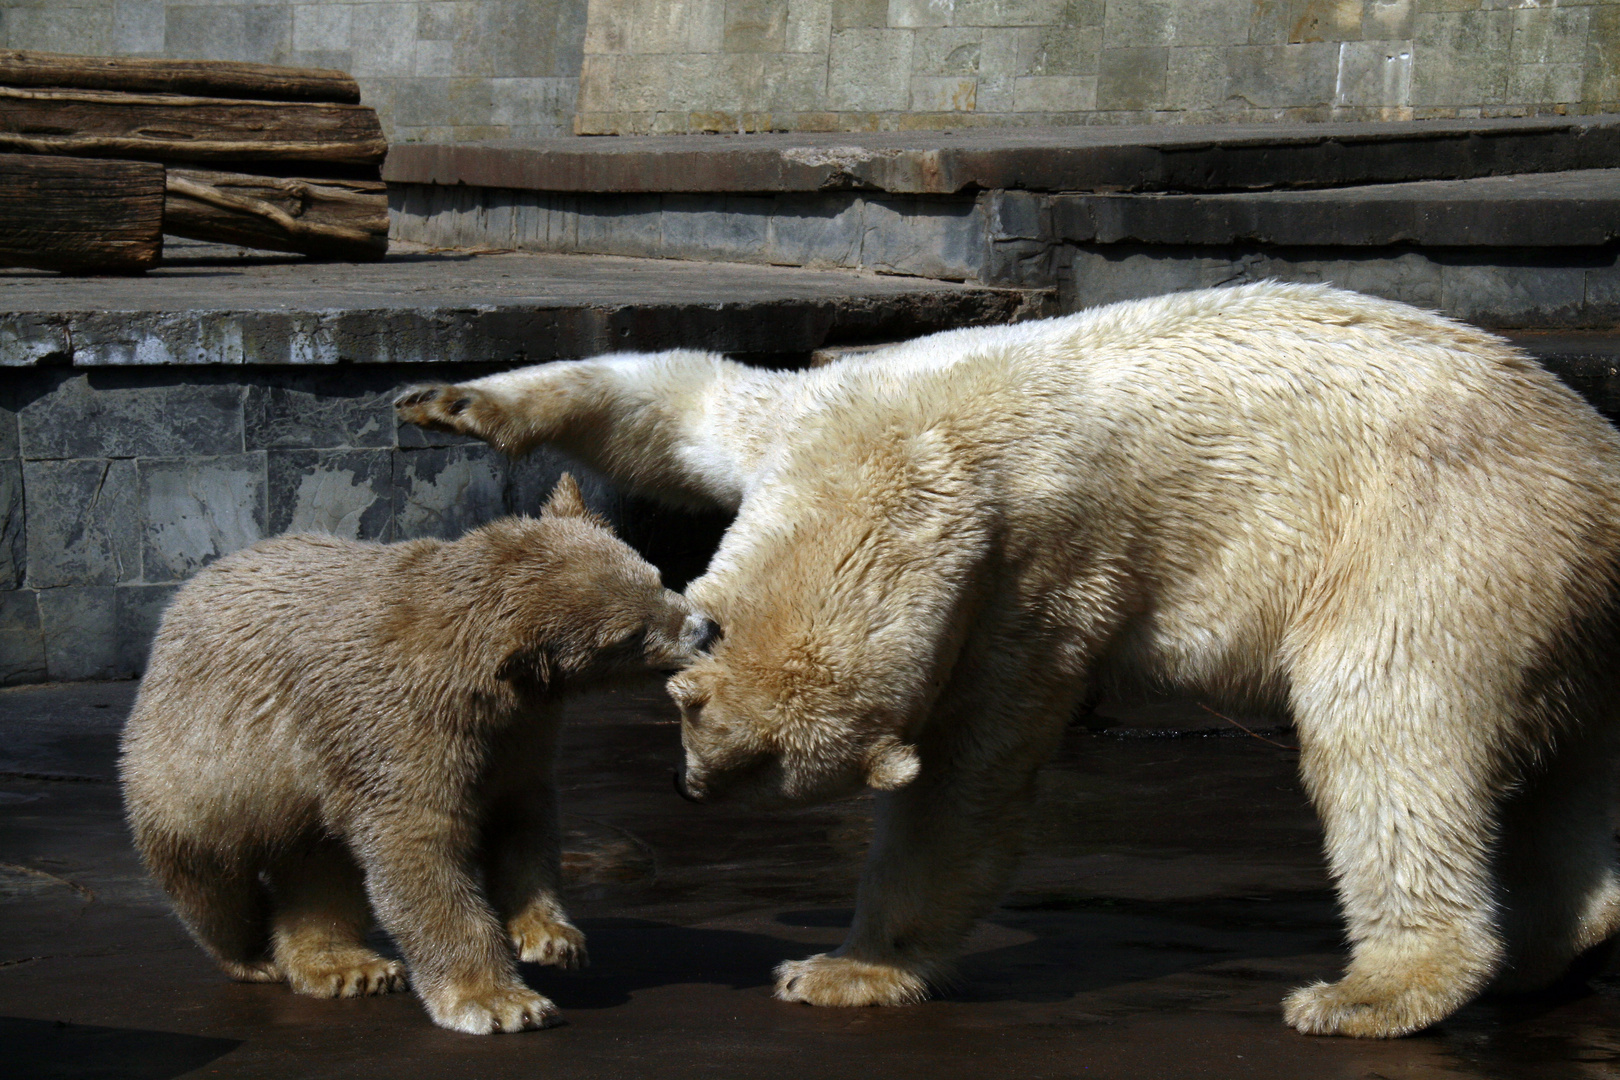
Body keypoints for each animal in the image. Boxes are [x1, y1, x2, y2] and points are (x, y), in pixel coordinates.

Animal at [119, 482, 716, 1036]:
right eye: (630, 635)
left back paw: (347, 967)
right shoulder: (401, 724)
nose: (707, 630)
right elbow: (418, 847)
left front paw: (552, 938)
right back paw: (255, 956)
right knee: (207, 874)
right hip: (192, 763)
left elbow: (522, 815)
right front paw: (500, 1002)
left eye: (657, 576)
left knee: (318, 862)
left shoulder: (520, 728)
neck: (463, 662)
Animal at [392, 284, 1620, 1036]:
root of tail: (1599, 459)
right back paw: (1557, 936)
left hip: (1443, 543)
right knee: (1561, 770)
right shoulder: (829, 413)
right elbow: (683, 399)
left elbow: (967, 778)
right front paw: (452, 399)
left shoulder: (1038, 573)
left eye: (762, 772)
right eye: (688, 708)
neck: (910, 456)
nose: (691, 790)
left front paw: (841, 968)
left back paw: (1378, 988)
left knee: (1391, 730)